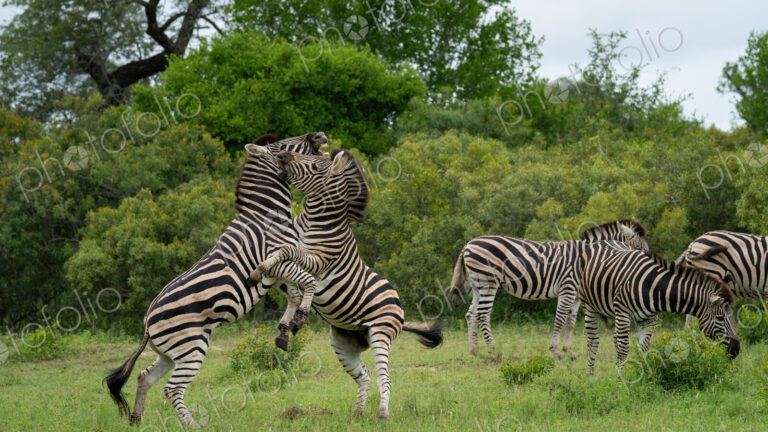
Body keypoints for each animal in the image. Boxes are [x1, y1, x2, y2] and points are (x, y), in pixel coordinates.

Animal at [105, 132, 328, 428]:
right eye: (282, 147)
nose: (318, 135)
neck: (268, 215)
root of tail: (147, 324)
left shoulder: (276, 268)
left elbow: (293, 292)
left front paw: (283, 332)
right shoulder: (275, 261)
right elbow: (308, 282)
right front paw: (300, 318)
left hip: (169, 353)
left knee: (145, 377)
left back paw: (136, 419)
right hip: (192, 347)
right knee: (172, 388)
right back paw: (193, 426)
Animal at [249, 148, 443, 420]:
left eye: (315, 167)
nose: (284, 155)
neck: (314, 221)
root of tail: (402, 312)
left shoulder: (318, 260)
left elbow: (288, 253)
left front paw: (297, 310)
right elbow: (283, 262)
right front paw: (265, 275)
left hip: (380, 334)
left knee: (385, 378)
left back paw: (383, 414)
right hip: (343, 342)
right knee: (365, 376)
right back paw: (357, 415)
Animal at [447, 220, 649, 358]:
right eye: (638, 247)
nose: (647, 268)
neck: (588, 257)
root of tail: (468, 245)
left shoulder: (576, 295)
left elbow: (570, 321)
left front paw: (567, 349)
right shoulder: (567, 288)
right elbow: (559, 319)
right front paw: (555, 351)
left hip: (477, 285)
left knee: (471, 315)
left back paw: (475, 350)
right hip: (488, 282)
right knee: (482, 315)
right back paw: (493, 349)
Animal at [577, 241, 740, 376]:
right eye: (720, 318)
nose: (736, 350)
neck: (652, 287)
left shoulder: (649, 318)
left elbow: (644, 348)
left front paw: (644, 373)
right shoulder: (623, 312)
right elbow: (624, 348)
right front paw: (621, 378)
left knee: (615, 338)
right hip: (589, 306)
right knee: (593, 340)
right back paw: (590, 374)